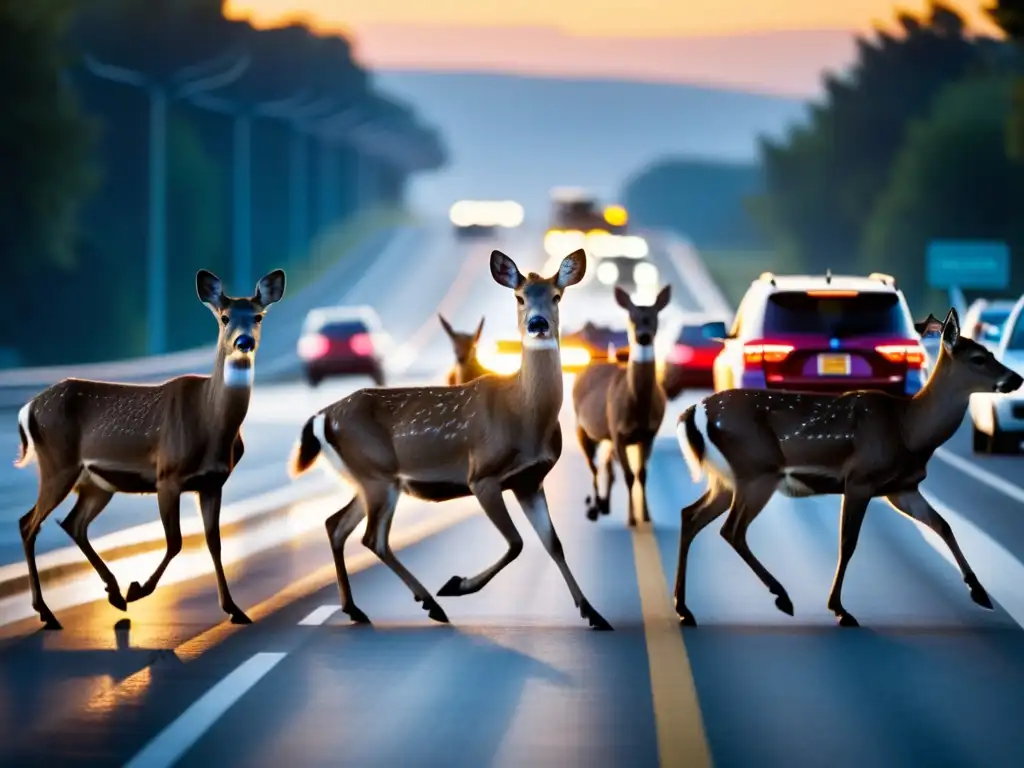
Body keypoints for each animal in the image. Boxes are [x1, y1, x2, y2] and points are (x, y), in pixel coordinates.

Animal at [14, 268, 288, 626]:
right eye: (225, 317)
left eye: (258, 316)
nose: (244, 342)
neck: (212, 424)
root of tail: (29, 407)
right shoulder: (167, 475)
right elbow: (175, 542)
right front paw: (138, 589)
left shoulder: (212, 483)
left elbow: (214, 542)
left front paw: (234, 608)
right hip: (57, 465)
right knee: (28, 523)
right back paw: (50, 612)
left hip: (97, 483)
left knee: (73, 523)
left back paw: (112, 594)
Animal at [284, 250, 610, 630]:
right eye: (520, 297)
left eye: (557, 296)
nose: (538, 324)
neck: (525, 415)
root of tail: (323, 416)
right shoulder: (482, 475)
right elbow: (516, 543)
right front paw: (457, 584)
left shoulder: (530, 480)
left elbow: (553, 543)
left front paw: (593, 613)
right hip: (378, 476)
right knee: (373, 538)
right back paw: (431, 603)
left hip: (367, 478)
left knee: (337, 525)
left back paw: (357, 609)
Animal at [569, 286, 671, 528]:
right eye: (631, 317)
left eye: (655, 316)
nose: (643, 335)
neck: (637, 408)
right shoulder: (618, 432)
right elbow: (629, 476)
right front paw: (632, 519)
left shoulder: (648, 434)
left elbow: (641, 474)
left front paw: (647, 517)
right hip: (582, 428)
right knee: (593, 466)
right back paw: (594, 507)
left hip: (605, 437)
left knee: (606, 467)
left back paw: (605, 504)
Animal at [675, 309, 1019, 630]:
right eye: (978, 358)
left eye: (990, 352)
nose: (1017, 379)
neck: (909, 431)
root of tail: (694, 411)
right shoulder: (860, 479)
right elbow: (848, 543)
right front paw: (840, 610)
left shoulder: (902, 488)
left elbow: (943, 525)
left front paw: (980, 592)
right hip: (756, 471)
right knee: (732, 530)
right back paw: (781, 597)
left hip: (726, 480)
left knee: (691, 515)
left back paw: (685, 610)